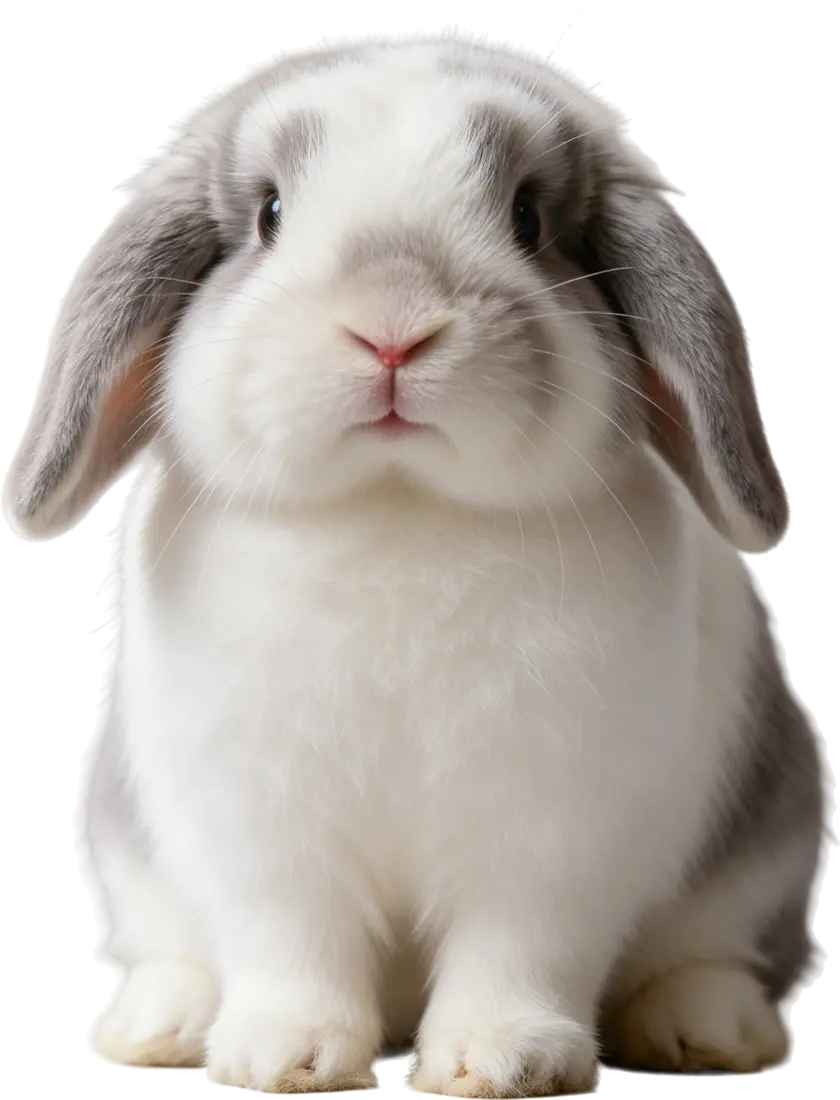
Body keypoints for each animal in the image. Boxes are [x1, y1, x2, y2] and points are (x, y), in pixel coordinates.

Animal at [5, 40, 834, 1098]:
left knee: (715, 957)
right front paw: (289, 1055)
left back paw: (708, 1033)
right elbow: (294, 942)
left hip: (765, 847)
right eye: (270, 213)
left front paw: (504, 1058)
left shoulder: (552, 838)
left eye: (527, 218)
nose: (392, 330)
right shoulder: (265, 833)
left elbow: (518, 947)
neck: (398, 507)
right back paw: (161, 1024)